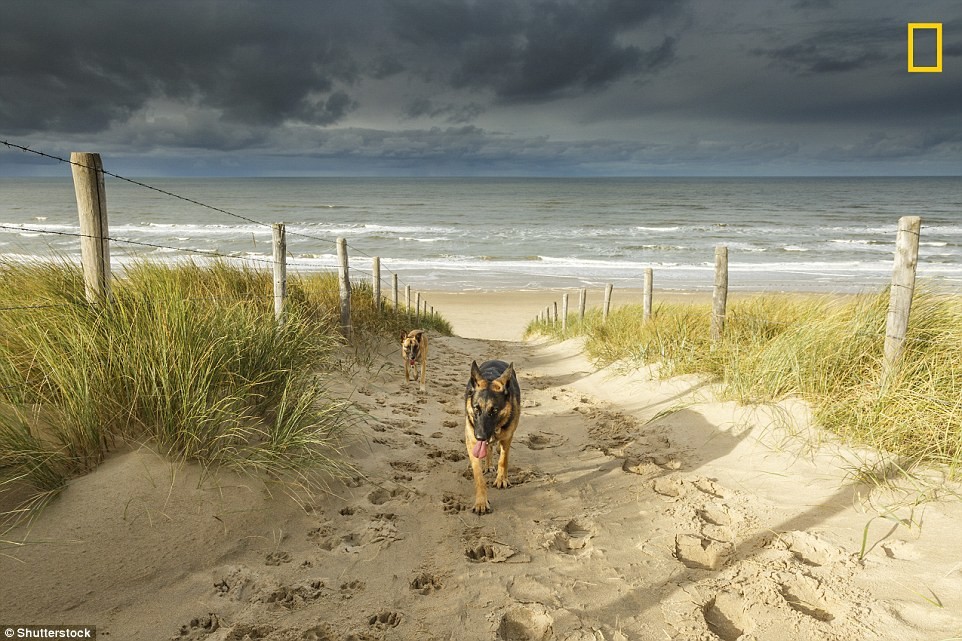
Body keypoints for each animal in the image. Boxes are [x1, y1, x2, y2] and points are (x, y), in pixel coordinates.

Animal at [464, 360, 516, 516]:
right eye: (476, 408)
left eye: (494, 411)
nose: (480, 437)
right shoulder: (472, 442)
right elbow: (479, 477)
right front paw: (481, 502)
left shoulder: (507, 438)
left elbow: (503, 460)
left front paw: (501, 479)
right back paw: (487, 465)